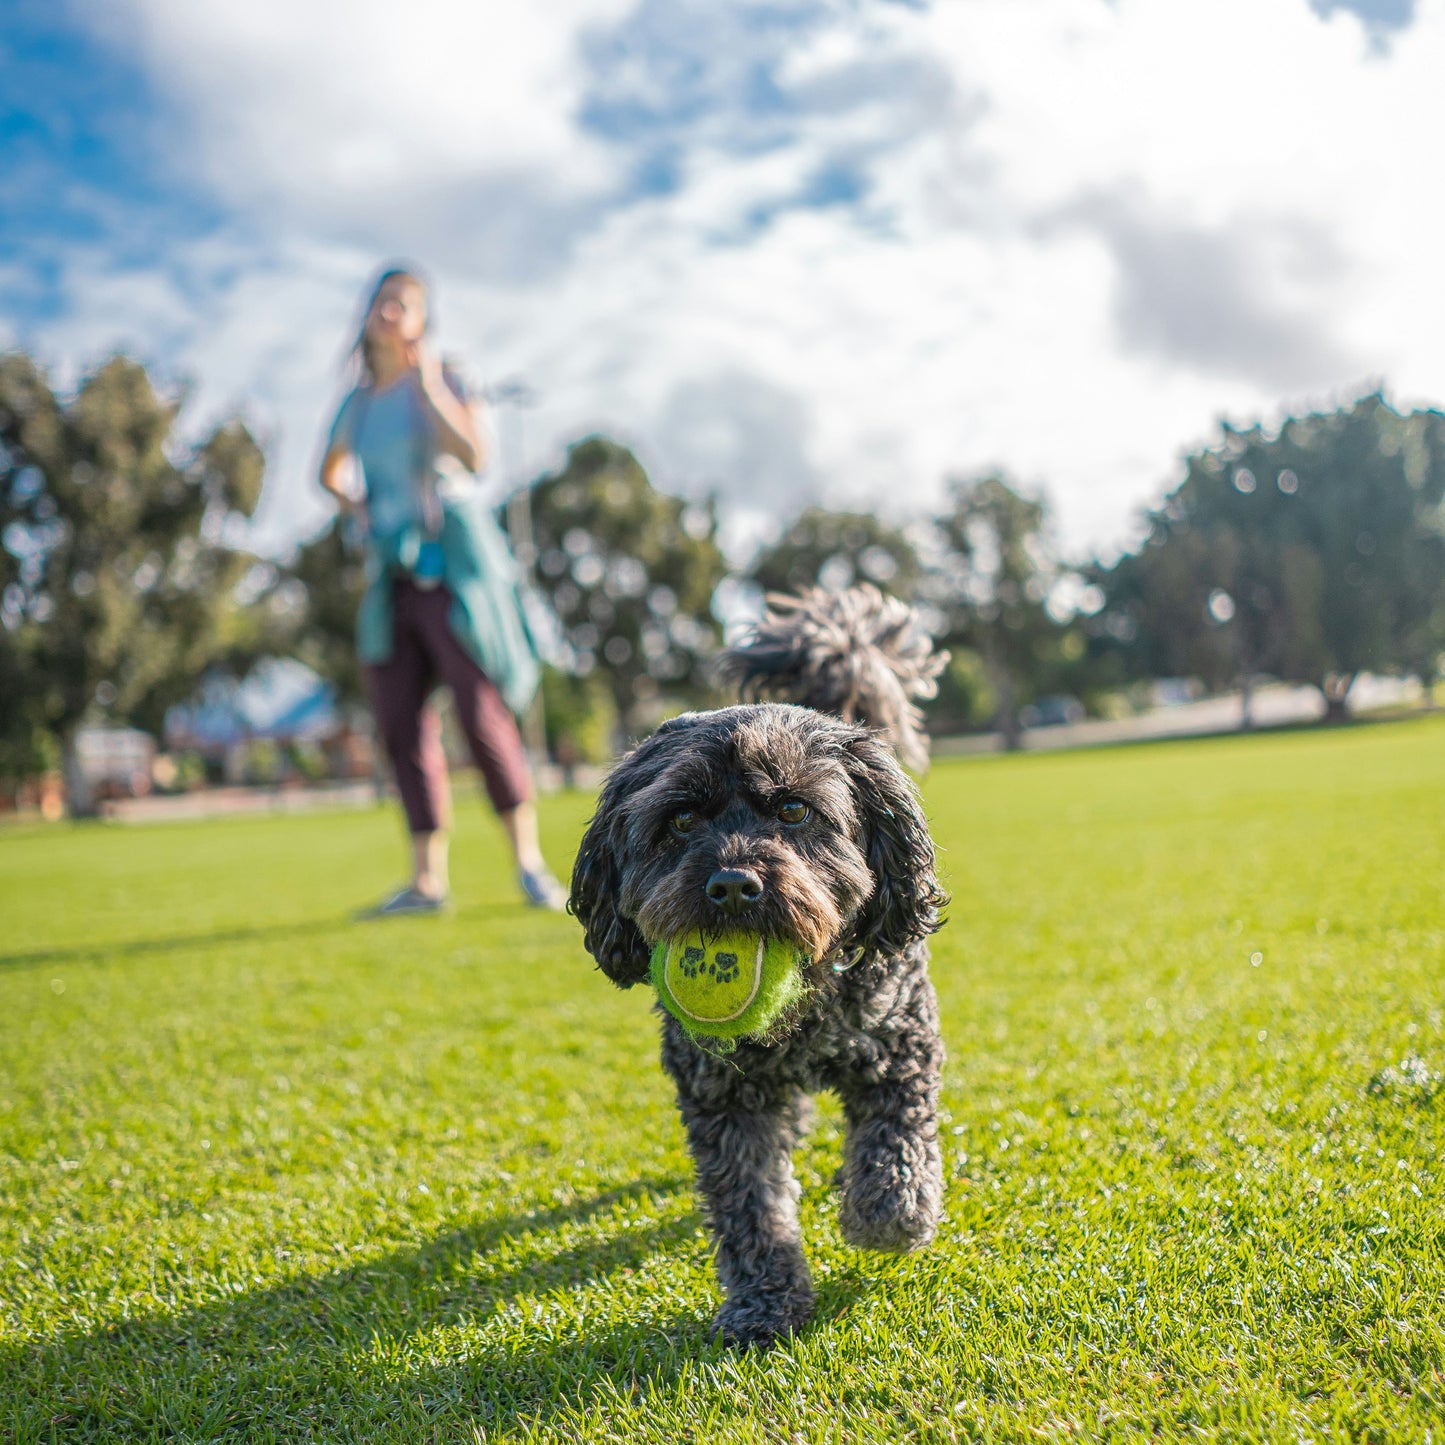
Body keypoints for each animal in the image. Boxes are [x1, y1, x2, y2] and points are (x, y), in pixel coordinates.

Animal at [569, 583, 953, 1340]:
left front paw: (887, 1213)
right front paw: (762, 1303)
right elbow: (751, 1208)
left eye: (794, 810)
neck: (803, 1006)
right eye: (682, 819)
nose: (732, 884)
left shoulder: (901, 1043)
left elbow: (895, 1139)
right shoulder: (723, 1097)